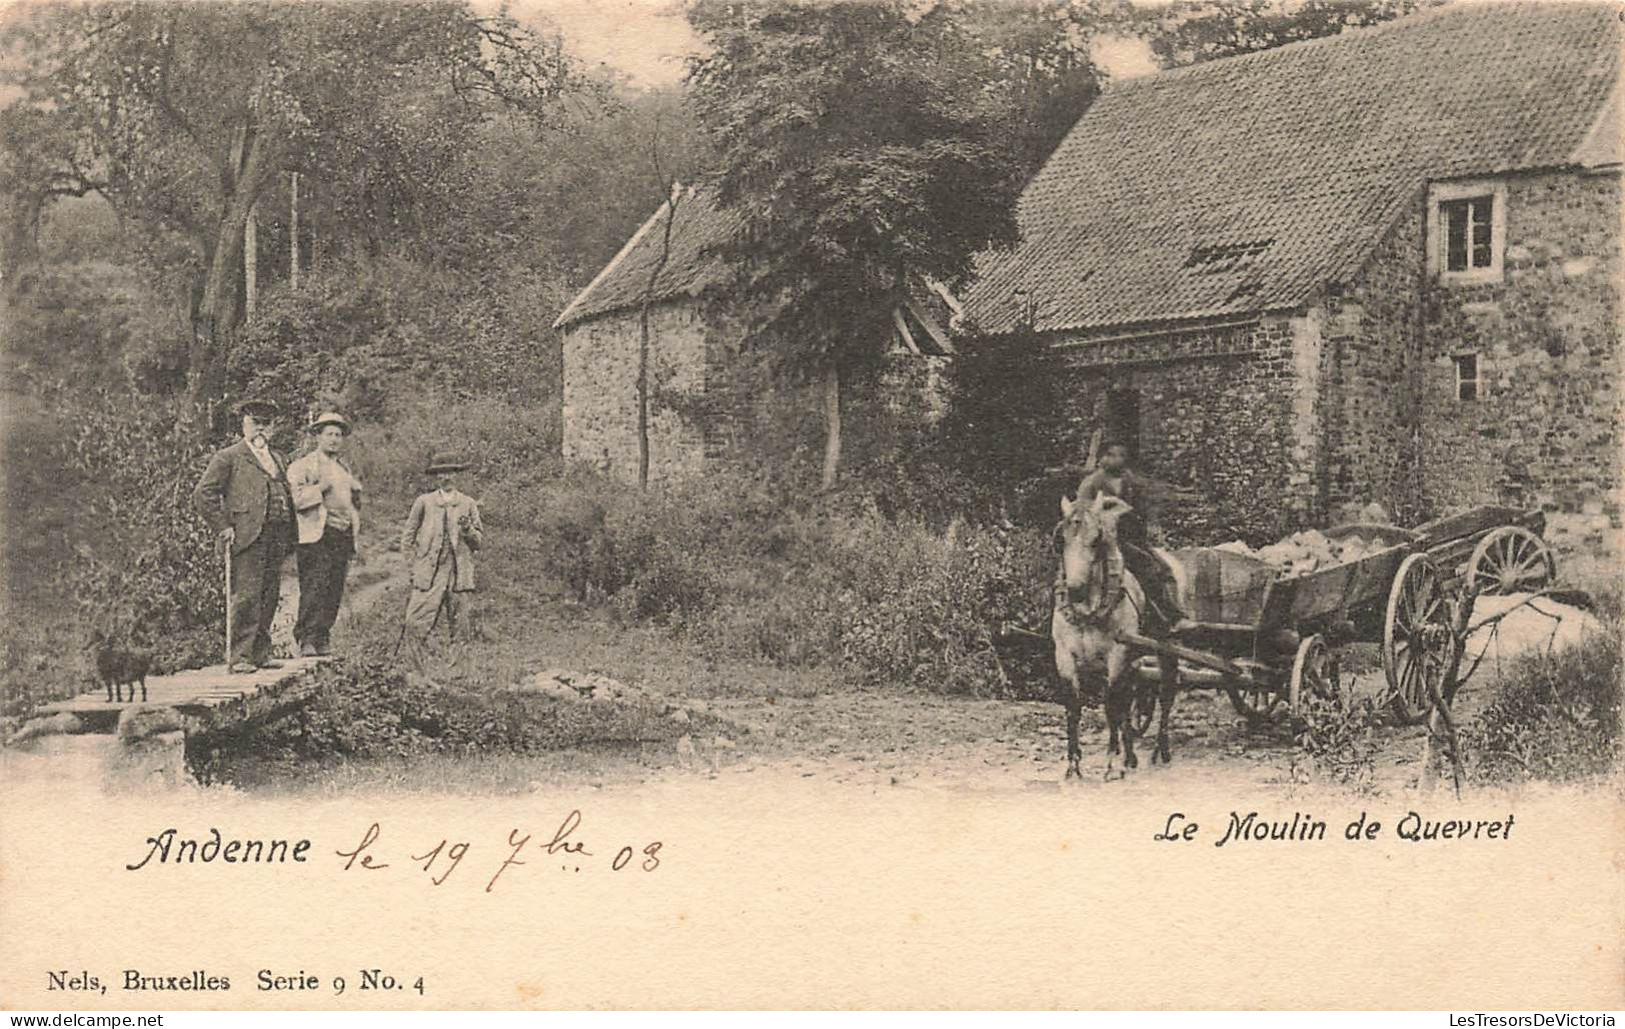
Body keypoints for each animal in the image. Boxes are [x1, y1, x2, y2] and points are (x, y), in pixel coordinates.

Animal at [1053, 490, 1183, 777]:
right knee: (1131, 698)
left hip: (1165, 650)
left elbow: (1112, 704)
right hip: (1133, 661)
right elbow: (1074, 707)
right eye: (1061, 539)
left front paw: (1111, 762)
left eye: (1096, 540)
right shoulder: (1065, 657)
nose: (1075, 590)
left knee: (1165, 697)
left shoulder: (1116, 655)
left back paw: (1161, 750)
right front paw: (1073, 765)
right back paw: (1132, 756)